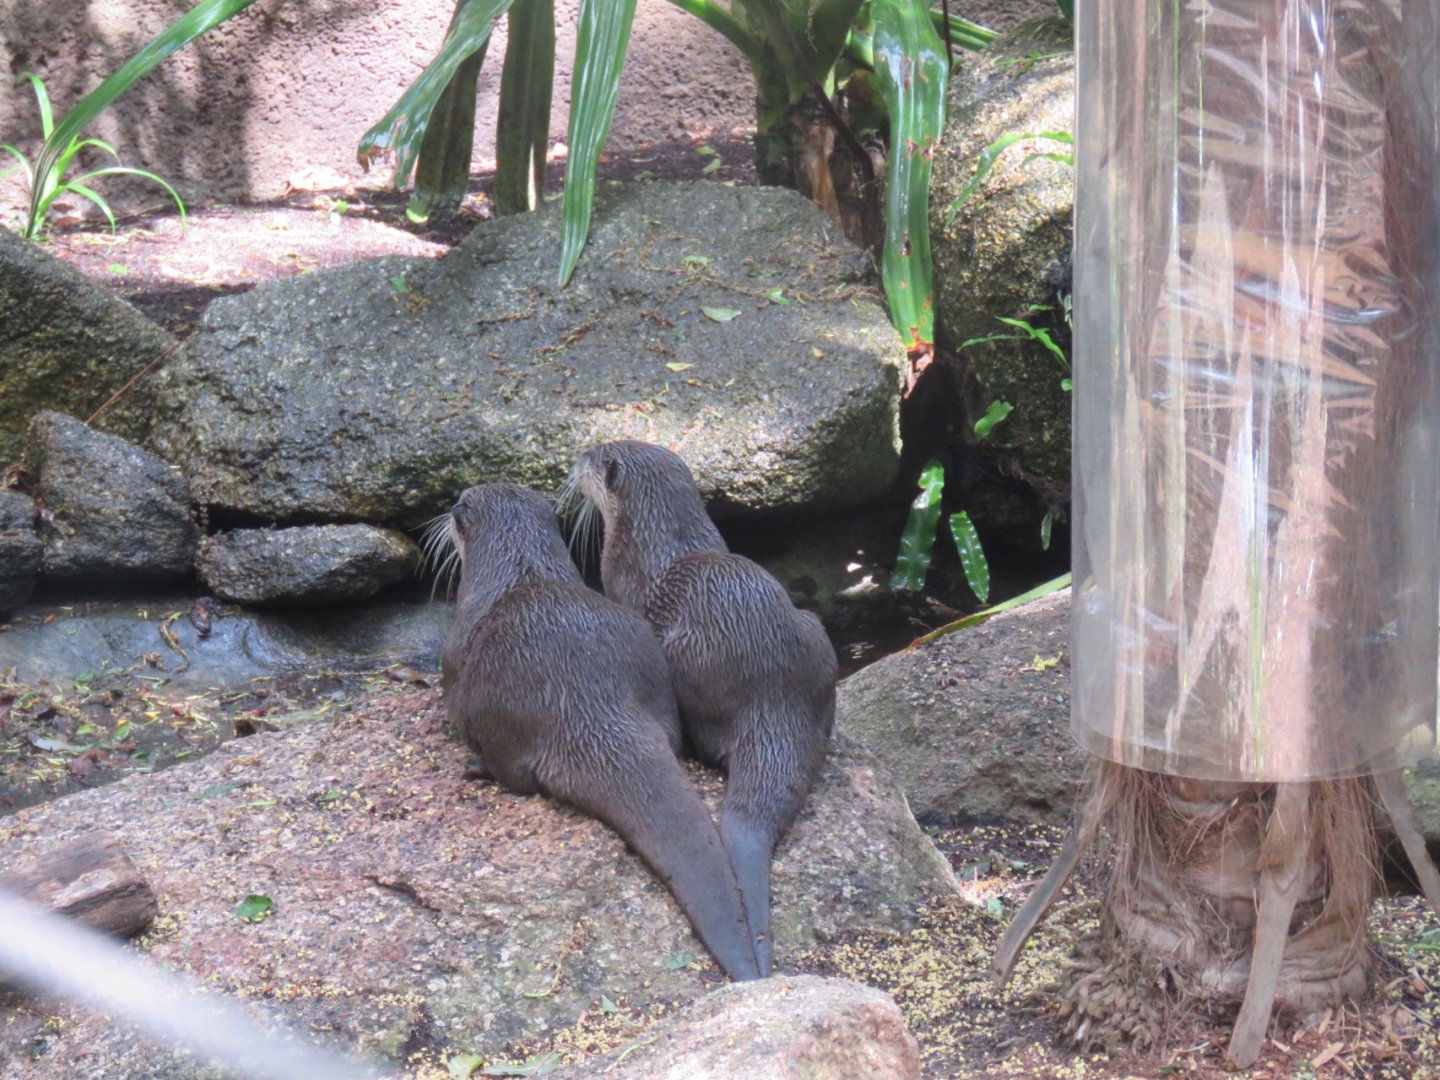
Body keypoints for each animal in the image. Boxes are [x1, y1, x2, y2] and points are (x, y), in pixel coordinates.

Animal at [439, 483, 759, 981]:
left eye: (458, 504)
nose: (450, 505)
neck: (518, 569)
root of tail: (588, 709)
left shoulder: (455, 648)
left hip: (494, 710)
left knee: (513, 773)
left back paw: (477, 767)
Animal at [571, 442, 837, 977]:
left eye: (595, 454)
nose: (576, 457)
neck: (656, 540)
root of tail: (772, 696)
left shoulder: (618, 581)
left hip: (686, 656)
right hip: (816, 634)